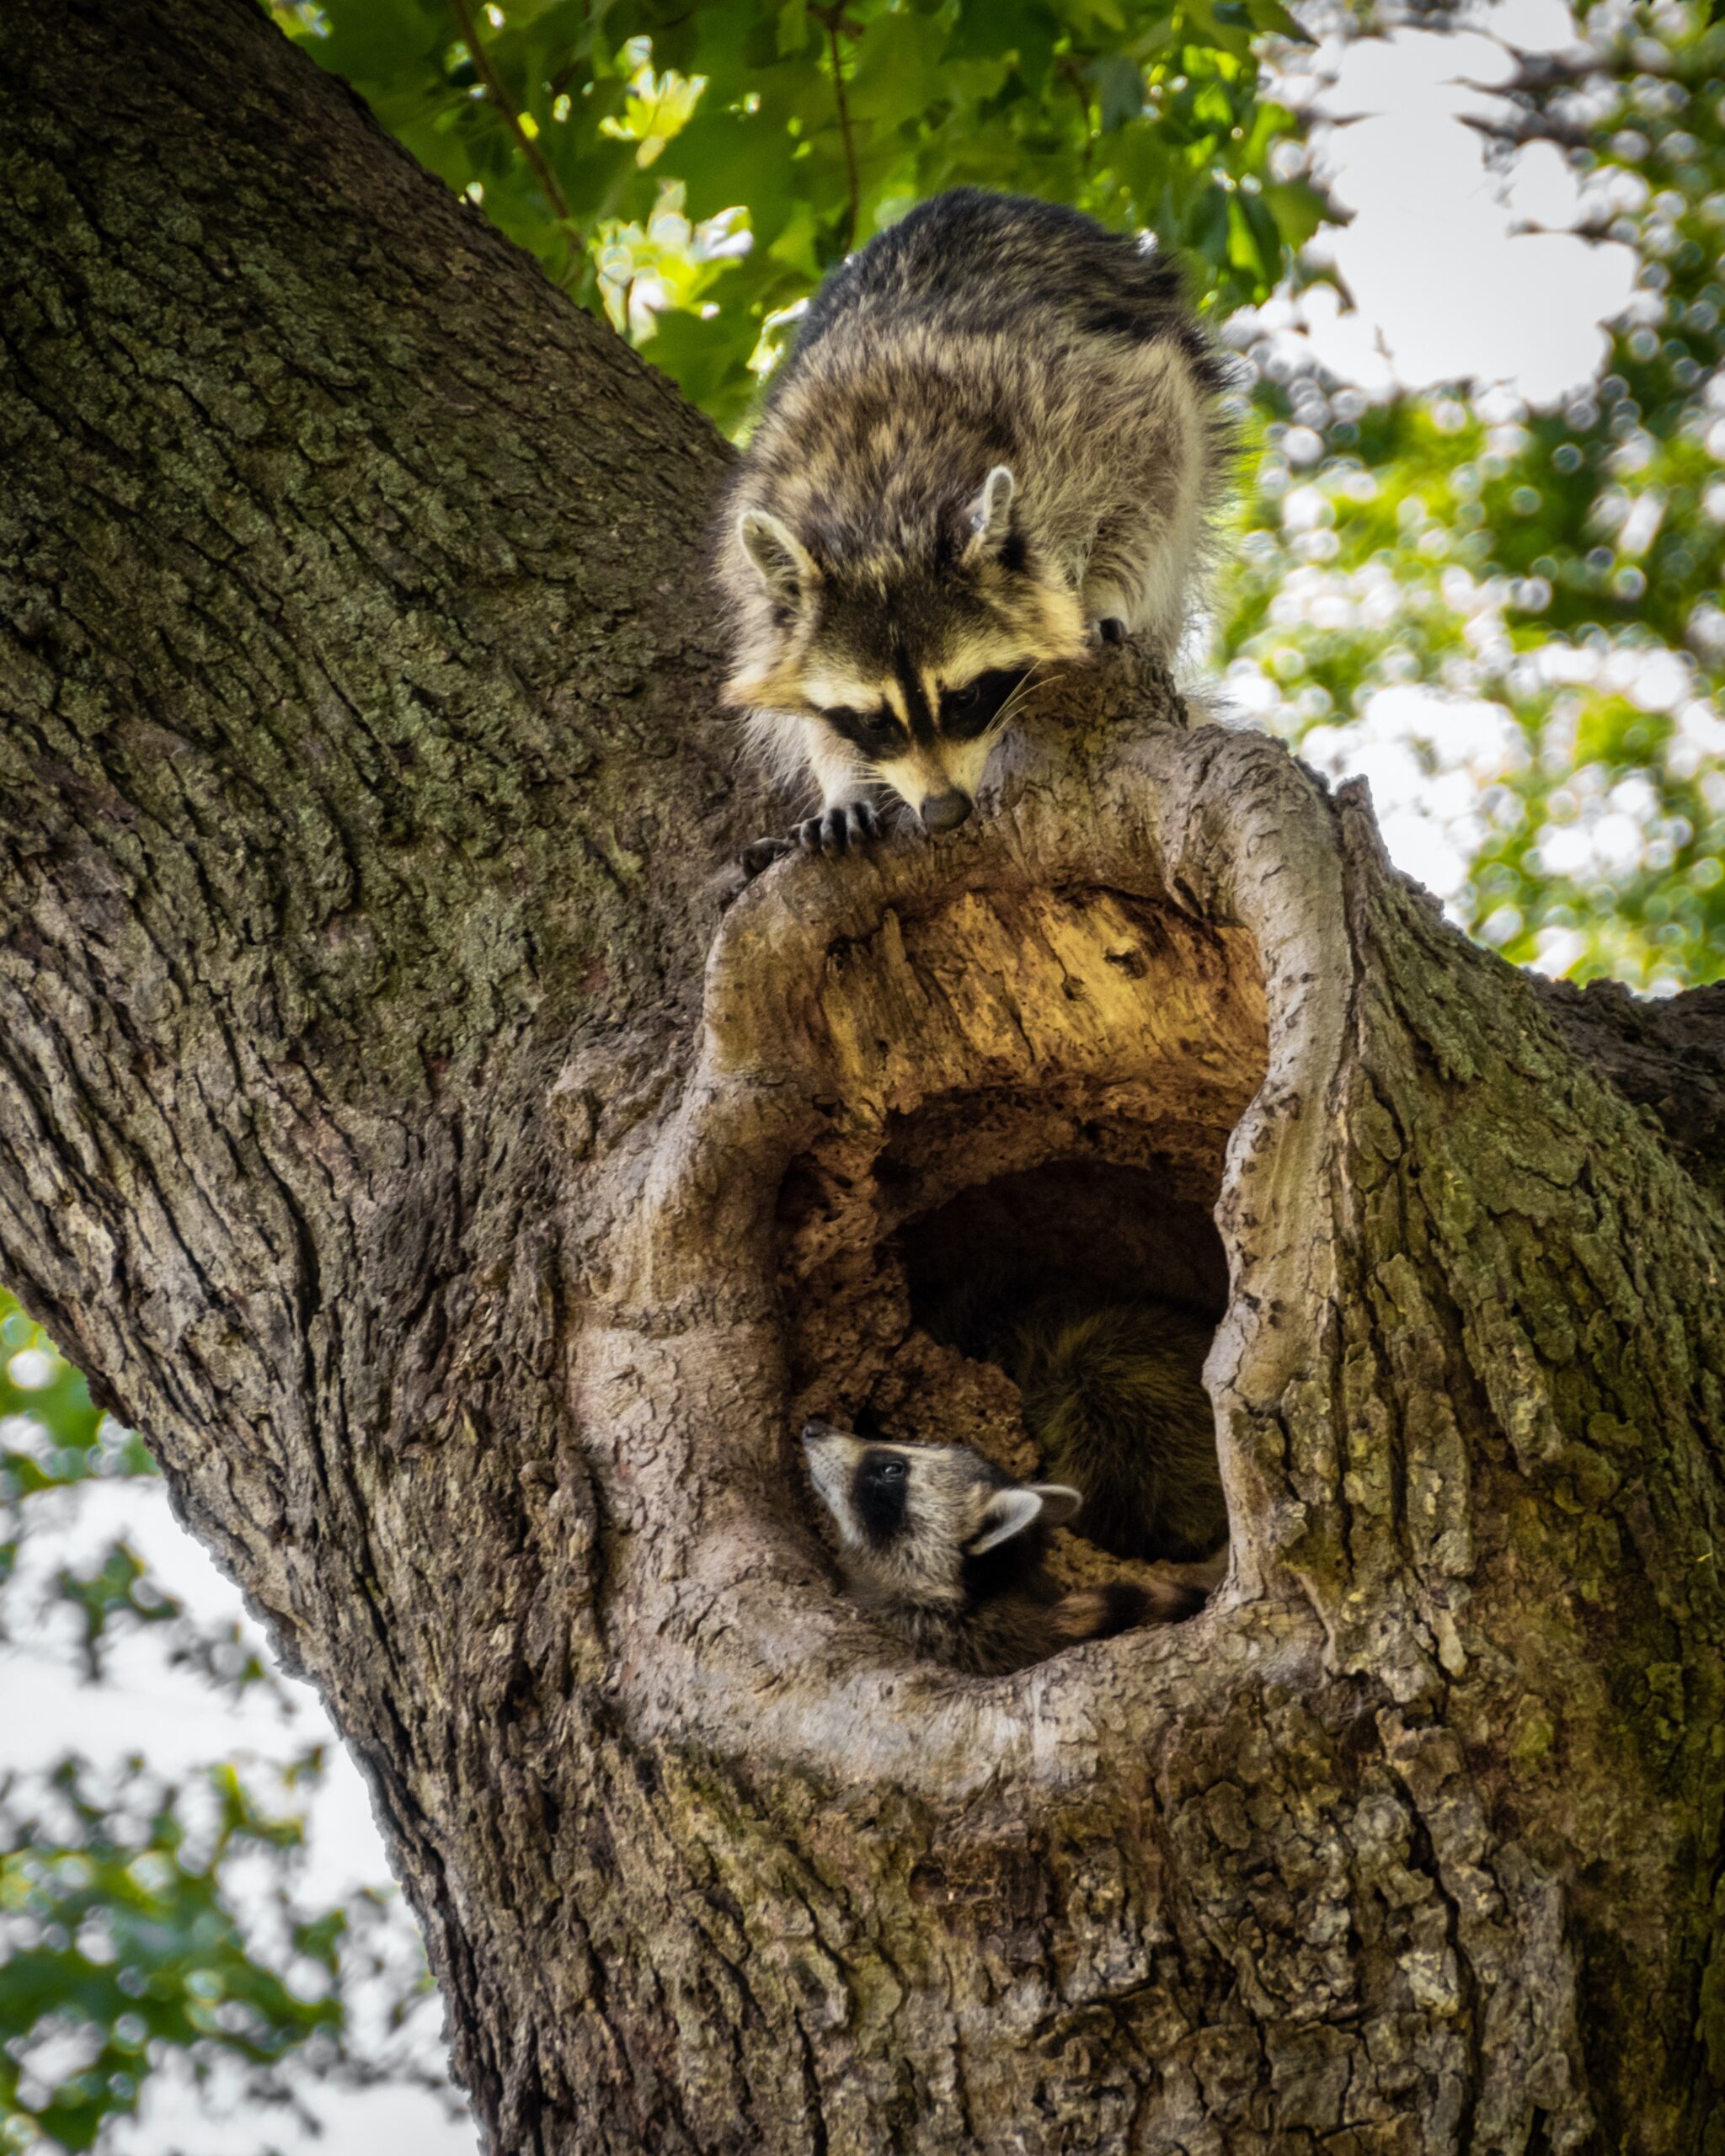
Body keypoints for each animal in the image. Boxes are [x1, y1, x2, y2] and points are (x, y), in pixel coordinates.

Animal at [720, 185, 1233, 857]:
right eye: (873, 720)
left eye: (964, 697)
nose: (943, 812)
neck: (881, 515)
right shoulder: (764, 533)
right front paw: (841, 776)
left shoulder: (1084, 405)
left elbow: (1151, 475)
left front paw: (1102, 590)